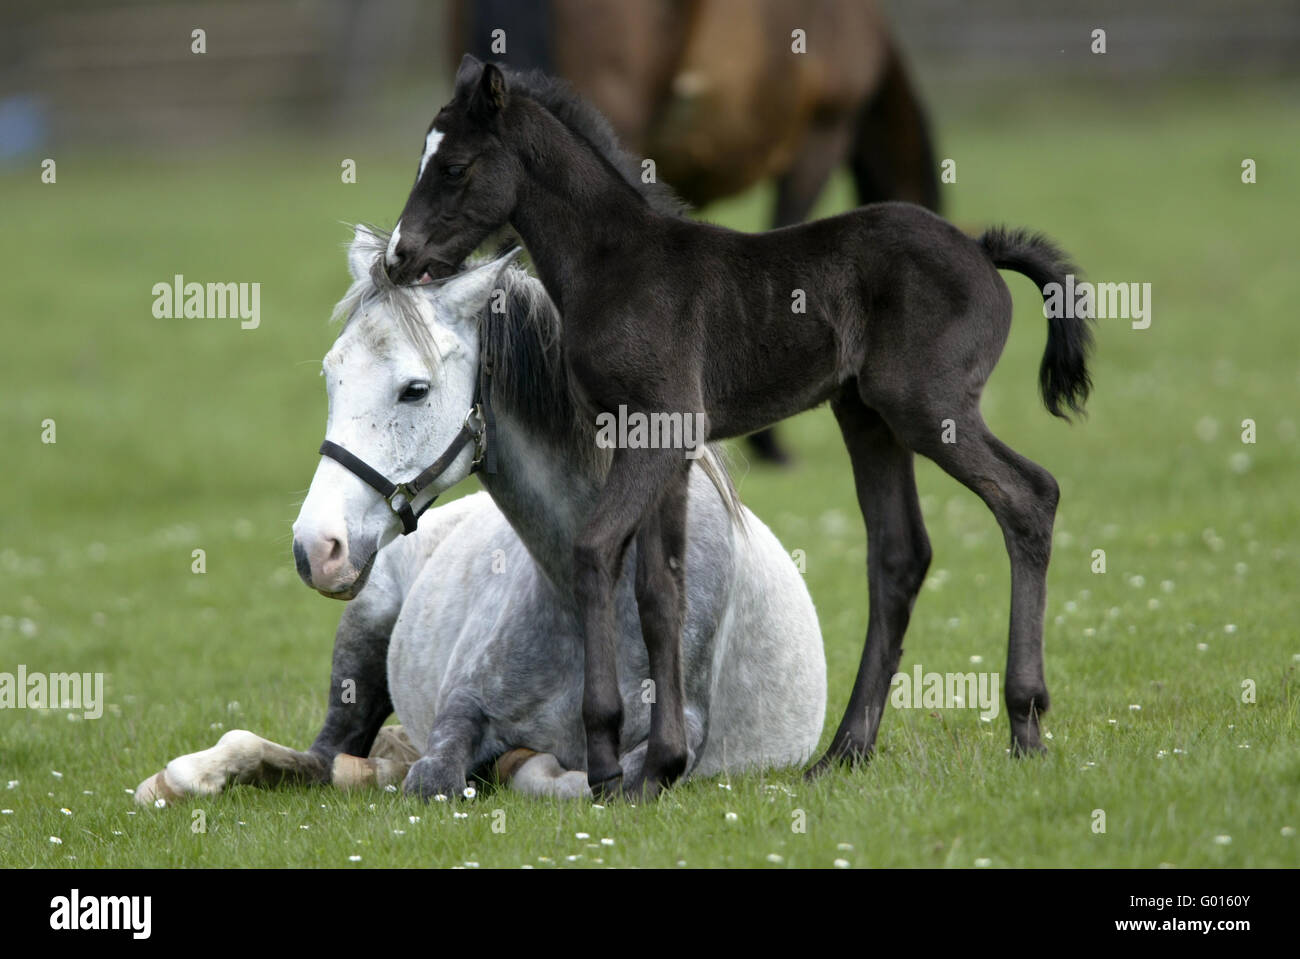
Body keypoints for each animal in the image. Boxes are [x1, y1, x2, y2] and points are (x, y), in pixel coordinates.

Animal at [135, 227, 826, 805]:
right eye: (332, 376)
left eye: (415, 389)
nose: (318, 546)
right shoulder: (460, 716)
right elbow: (434, 775)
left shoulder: (659, 756)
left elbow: (557, 777)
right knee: (320, 756)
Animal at [383, 57, 1093, 800]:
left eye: (454, 167)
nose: (397, 257)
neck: (615, 264)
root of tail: (981, 250)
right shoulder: (659, 445)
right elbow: (661, 589)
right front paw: (659, 766)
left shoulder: (659, 426)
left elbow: (596, 549)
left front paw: (606, 758)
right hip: (866, 417)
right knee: (900, 554)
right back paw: (843, 751)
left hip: (928, 407)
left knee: (1029, 496)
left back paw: (1025, 726)